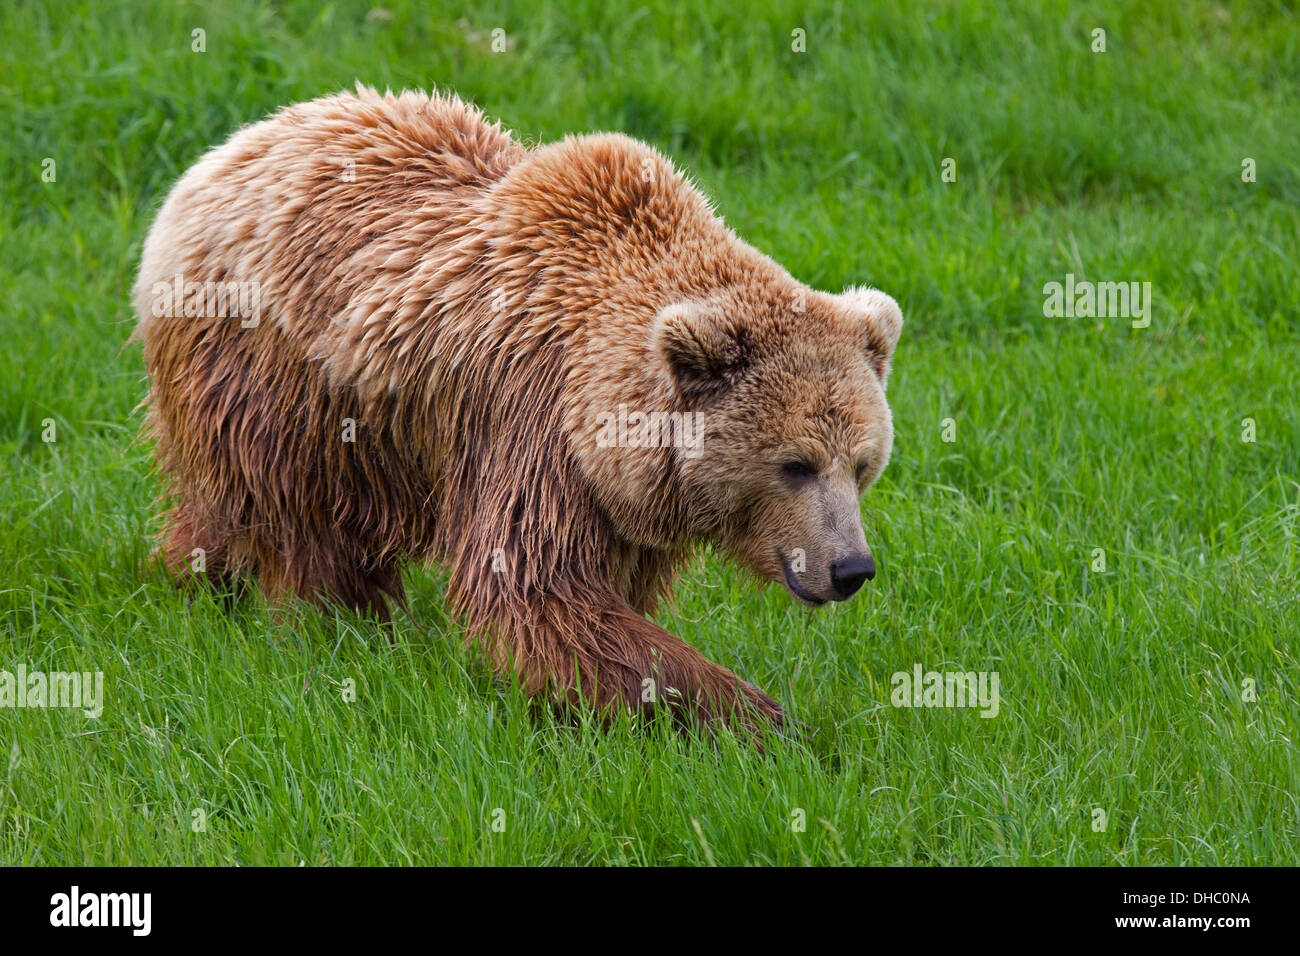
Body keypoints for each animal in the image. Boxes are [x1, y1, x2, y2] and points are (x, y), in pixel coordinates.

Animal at [134, 87, 904, 733]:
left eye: (862, 465)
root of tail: (222, 156)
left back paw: (195, 578)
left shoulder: (621, 505)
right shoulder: (533, 427)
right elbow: (539, 589)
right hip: (280, 383)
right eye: (795, 464)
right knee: (305, 528)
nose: (850, 568)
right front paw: (756, 715)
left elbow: (602, 590)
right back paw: (333, 627)